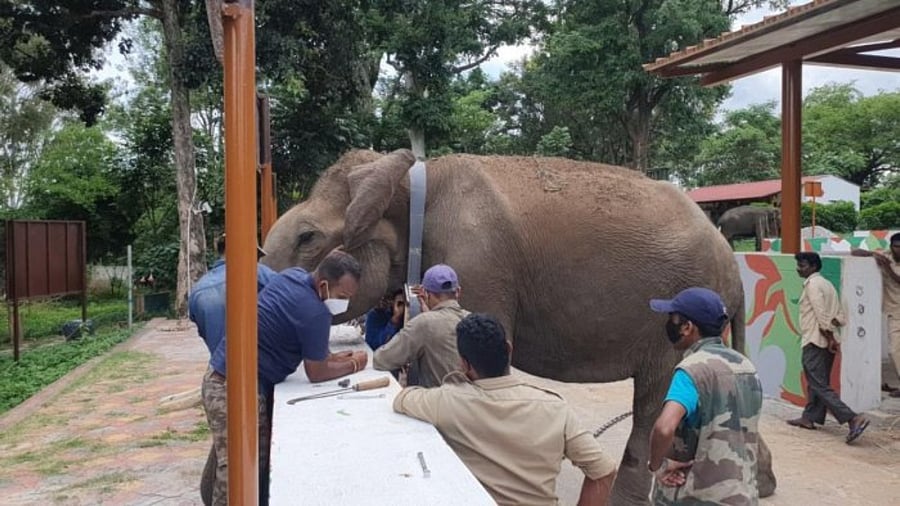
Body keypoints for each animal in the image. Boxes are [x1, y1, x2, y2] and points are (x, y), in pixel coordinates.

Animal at [262, 149, 776, 504]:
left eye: (307, 236)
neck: (411, 176)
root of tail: (731, 264)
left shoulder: (477, 262)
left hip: (671, 315)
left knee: (655, 400)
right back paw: (764, 483)